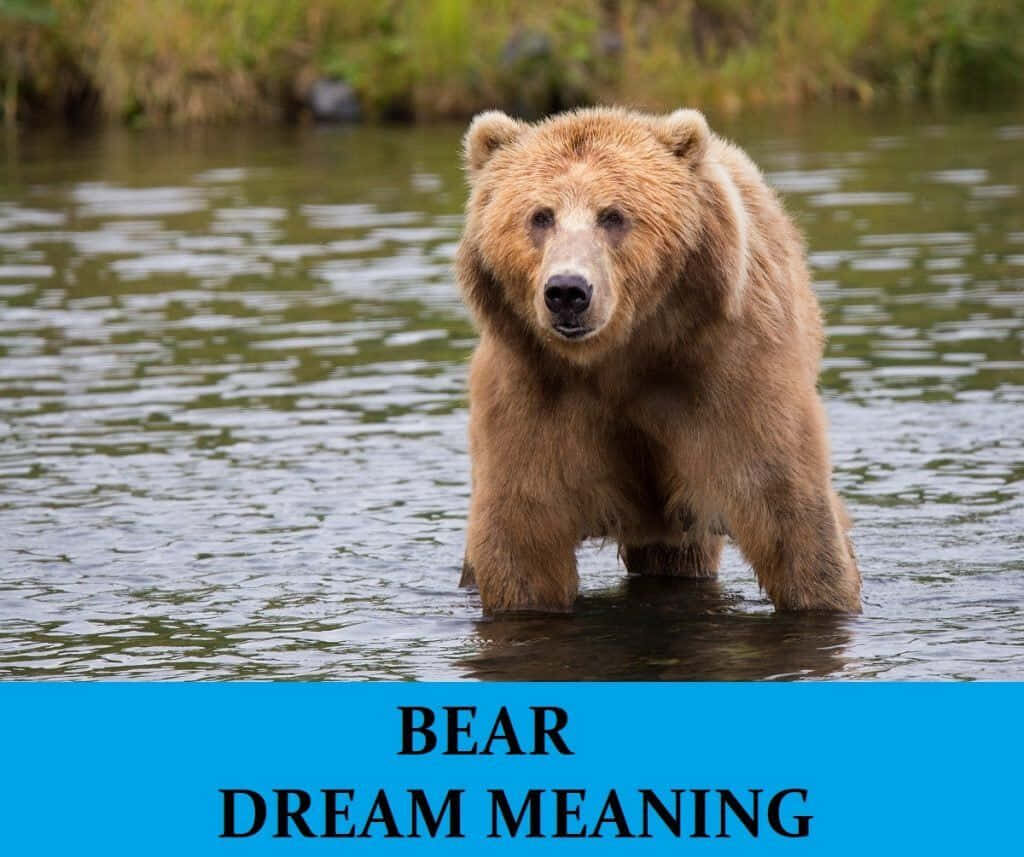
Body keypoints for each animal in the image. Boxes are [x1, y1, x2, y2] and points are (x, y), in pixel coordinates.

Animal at [454, 106, 861, 615]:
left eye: (613, 215)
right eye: (540, 216)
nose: (567, 291)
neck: (622, 355)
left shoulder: (729, 376)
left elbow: (788, 512)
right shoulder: (533, 392)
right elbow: (523, 534)